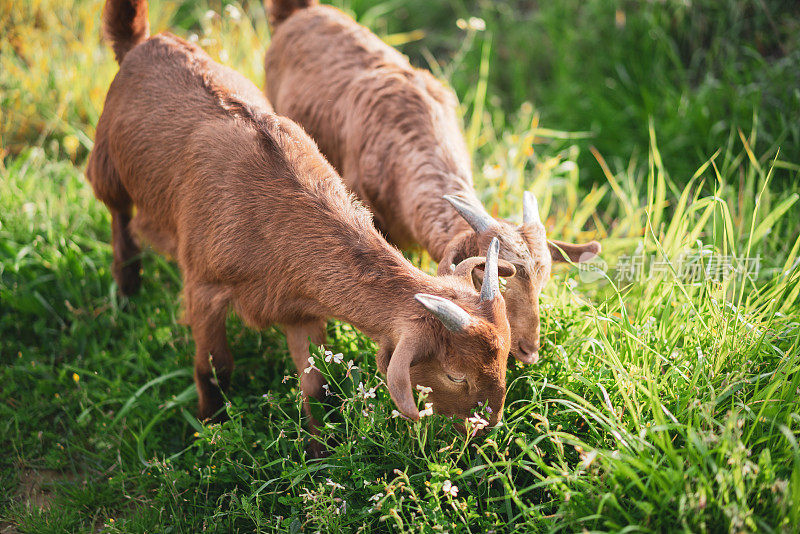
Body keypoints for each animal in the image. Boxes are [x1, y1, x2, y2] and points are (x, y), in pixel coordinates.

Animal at [87, 0, 516, 442]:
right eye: (455, 375)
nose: (487, 429)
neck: (269, 218)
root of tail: (142, 43)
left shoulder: (298, 307)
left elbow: (316, 382)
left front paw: (318, 448)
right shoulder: (202, 288)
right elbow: (214, 369)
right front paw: (212, 431)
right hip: (107, 165)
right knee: (119, 220)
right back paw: (127, 293)